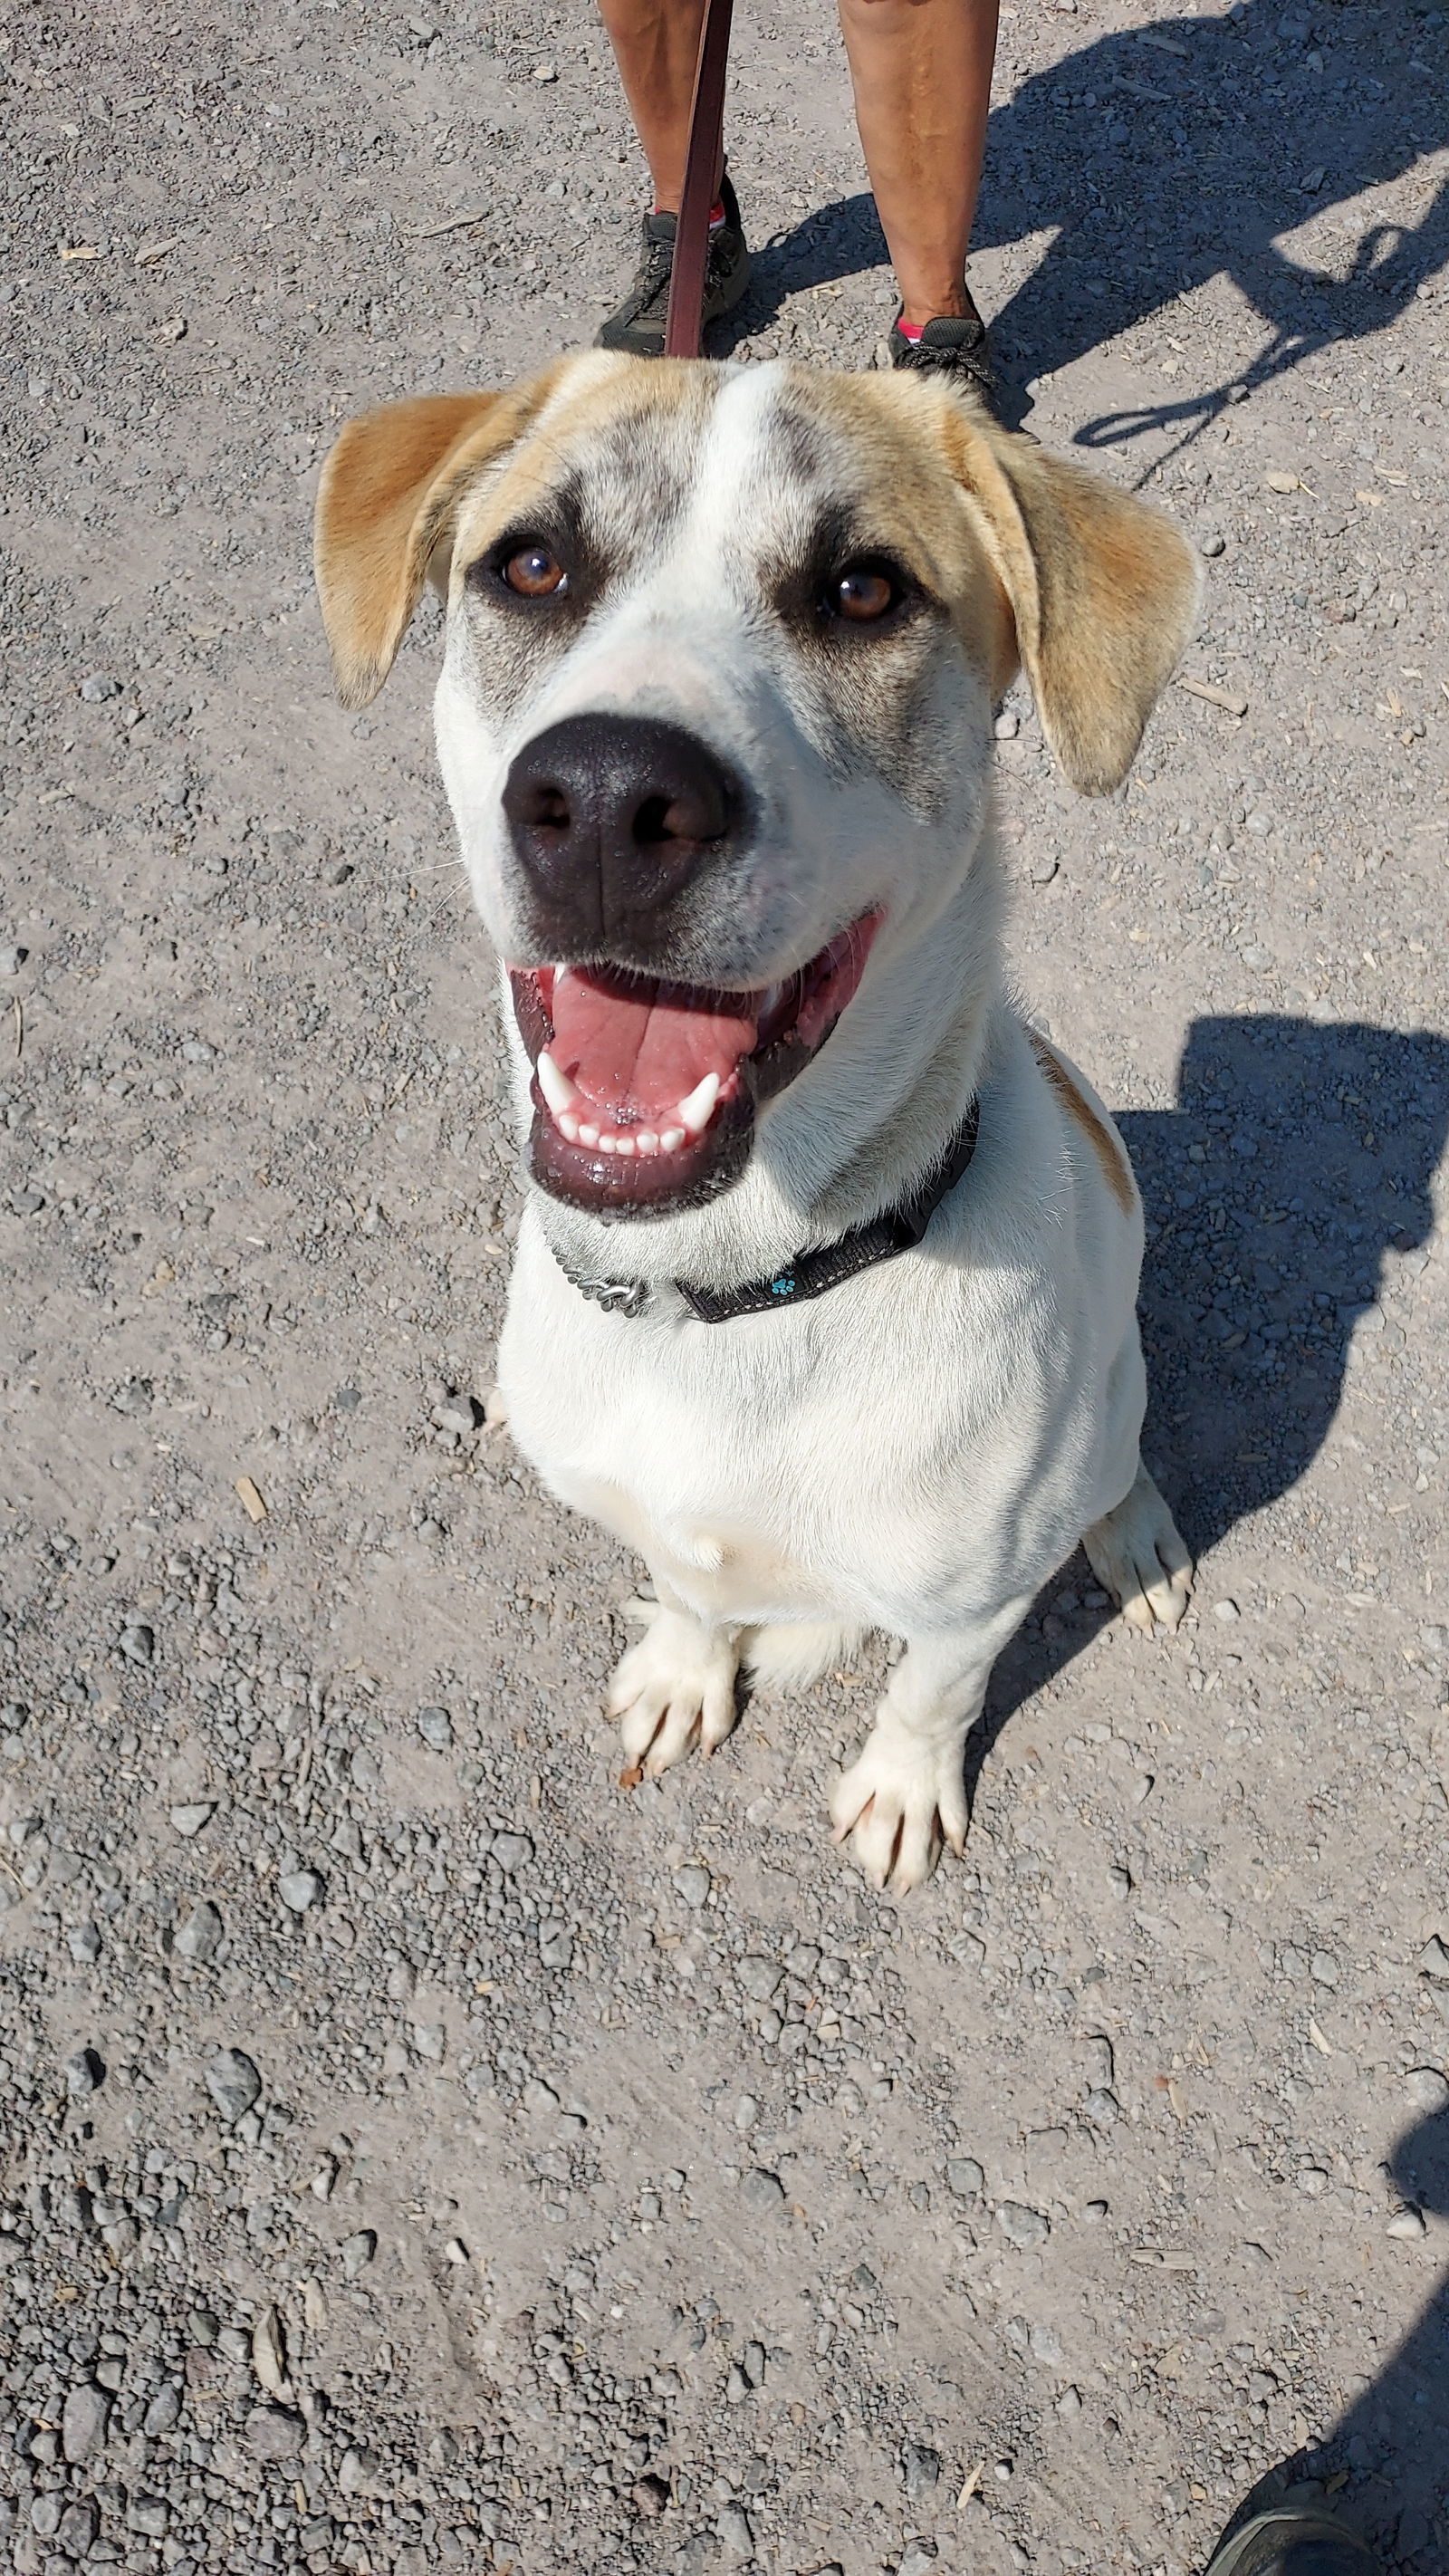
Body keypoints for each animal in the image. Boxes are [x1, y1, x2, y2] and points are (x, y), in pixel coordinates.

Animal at [315, 352, 1204, 1896]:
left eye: (864, 590)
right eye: (531, 565)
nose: (609, 797)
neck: (735, 1294)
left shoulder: (969, 1607)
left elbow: (932, 1693)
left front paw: (901, 1791)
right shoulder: (659, 1520)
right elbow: (684, 1591)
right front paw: (685, 1676)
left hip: (1109, 1391)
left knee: (1124, 1447)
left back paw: (1138, 1535)